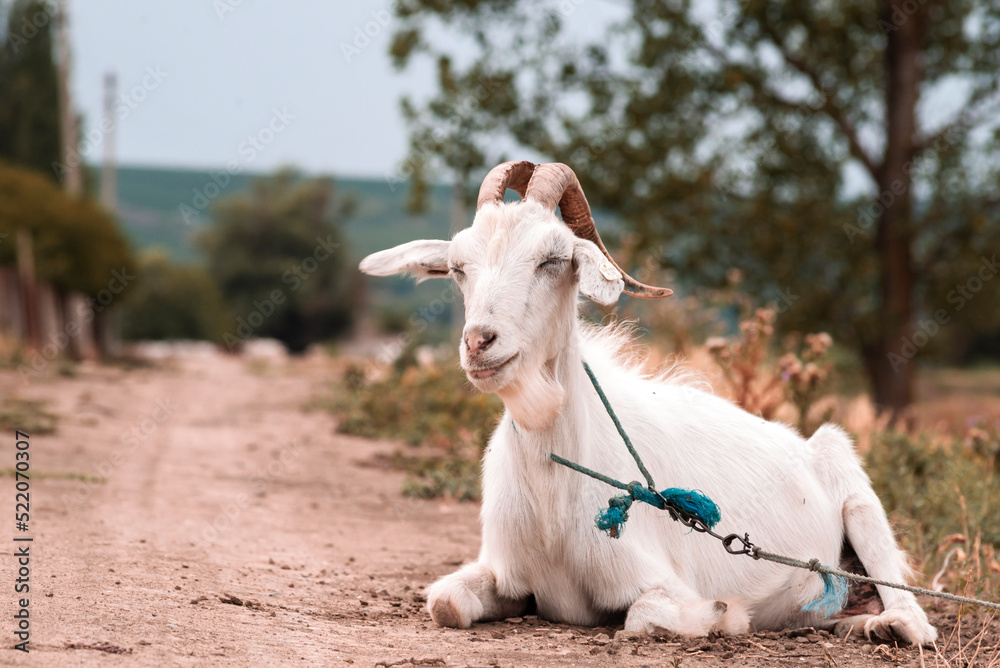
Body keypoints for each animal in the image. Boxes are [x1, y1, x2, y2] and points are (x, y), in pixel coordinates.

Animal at [359, 161, 937, 644]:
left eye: (553, 259)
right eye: (458, 267)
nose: (480, 342)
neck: (553, 492)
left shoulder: (660, 580)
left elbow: (642, 618)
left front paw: (725, 616)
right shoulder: (503, 571)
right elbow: (445, 602)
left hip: (859, 500)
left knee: (914, 614)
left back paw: (885, 626)